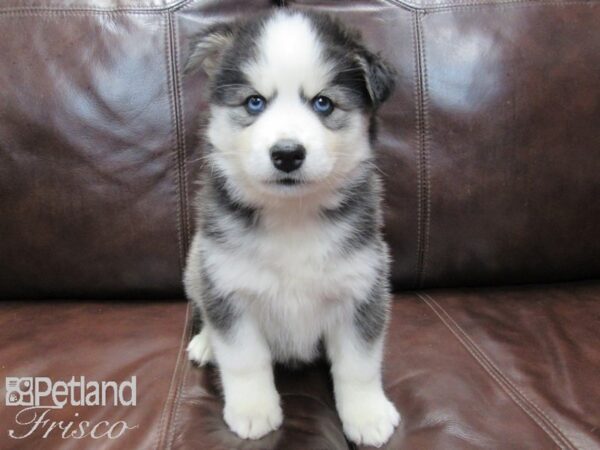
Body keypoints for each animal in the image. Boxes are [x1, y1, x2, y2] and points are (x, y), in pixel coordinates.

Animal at [184, 8, 398, 448]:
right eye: (254, 102)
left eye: (323, 103)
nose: (286, 154)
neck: (291, 216)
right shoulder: (229, 287)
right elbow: (245, 359)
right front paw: (252, 410)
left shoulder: (363, 287)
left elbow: (359, 364)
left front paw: (367, 414)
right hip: (197, 264)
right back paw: (205, 342)